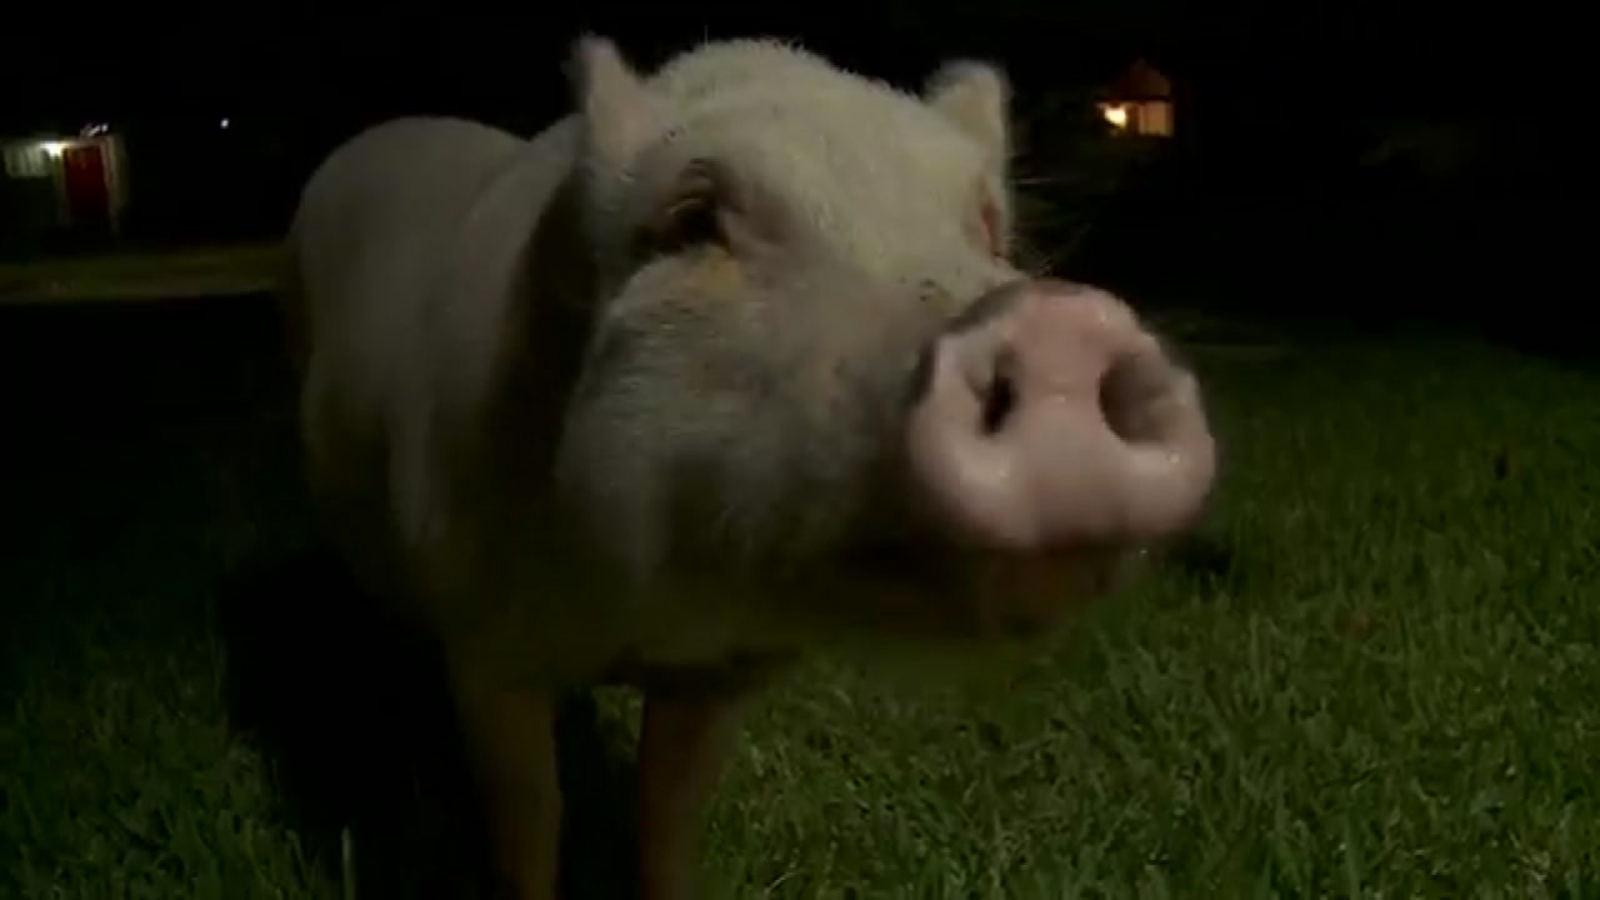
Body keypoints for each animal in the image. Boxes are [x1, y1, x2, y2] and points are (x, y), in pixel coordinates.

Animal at [281, 34, 1217, 900]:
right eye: (695, 219)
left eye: (988, 226)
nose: (1061, 323)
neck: (648, 616)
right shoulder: (487, 644)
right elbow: (529, 818)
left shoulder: (719, 674)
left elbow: (668, 809)